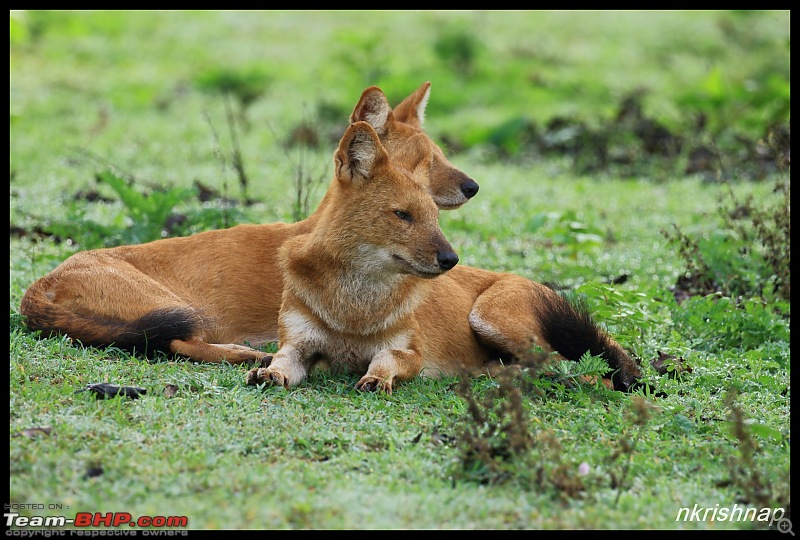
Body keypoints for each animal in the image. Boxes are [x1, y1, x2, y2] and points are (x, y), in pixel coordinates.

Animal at [247, 121, 640, 392]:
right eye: (403, 215)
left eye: (434, 217)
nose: (451, 259)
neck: (354, 306)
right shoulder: (298, 344)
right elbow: (282, 359)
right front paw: (269, 371)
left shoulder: (410, 352)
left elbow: (386, 357)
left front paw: (377, 378)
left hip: (491, 317)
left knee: (588, 372)